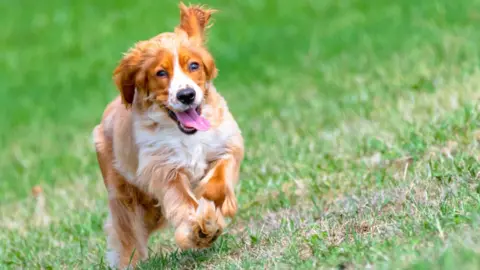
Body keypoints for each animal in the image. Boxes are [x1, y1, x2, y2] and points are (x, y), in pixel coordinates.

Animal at [93, 3, 244, 268]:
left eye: (193, 65)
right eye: (161, 73)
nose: (186, 95)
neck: (186, 134)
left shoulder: (227, 144)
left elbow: (217, 182)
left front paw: (212, 204)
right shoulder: (163, 169)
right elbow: (182, 202)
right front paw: (200, 229)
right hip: (123, 194)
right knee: (127, 234)